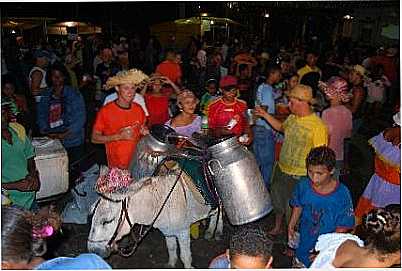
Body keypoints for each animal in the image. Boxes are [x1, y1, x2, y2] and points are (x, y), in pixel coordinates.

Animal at [87, 171, 223, 268]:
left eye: (107, 221)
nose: (92, 251)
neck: (161, 202)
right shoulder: (168, 231)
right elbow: (171, 248)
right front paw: (171, 264)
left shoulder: (183, 231)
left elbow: (185, 256)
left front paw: (188, 267)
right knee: (216, 211)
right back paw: (210, 231)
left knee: (220, 211)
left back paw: (218, 232)